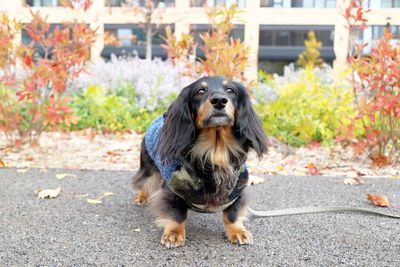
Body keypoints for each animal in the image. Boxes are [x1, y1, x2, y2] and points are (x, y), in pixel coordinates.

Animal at [133, 76, 268, 248]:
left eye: (230, 90)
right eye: (200, 91)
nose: (219, 101)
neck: (215, 151)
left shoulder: (237, 188)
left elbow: (233, 214)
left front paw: (237, 231)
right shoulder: (173, 188)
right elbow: (176, 214)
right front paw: (174, 233)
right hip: (149, 165)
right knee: (145, 181)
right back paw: (142, 197)